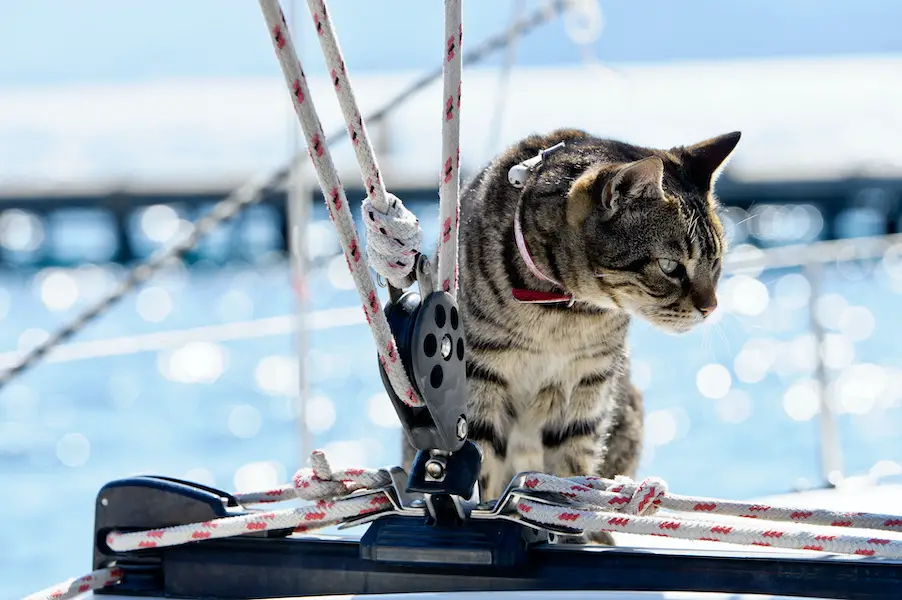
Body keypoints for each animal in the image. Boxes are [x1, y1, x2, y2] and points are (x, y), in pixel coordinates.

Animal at [404, 126, 740, 520]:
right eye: (670, 267)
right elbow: (481, 464)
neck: (564, 313)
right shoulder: (479, 376)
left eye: (715, 262)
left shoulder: (587, 383)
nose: (711, 307)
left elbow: (571, 473)